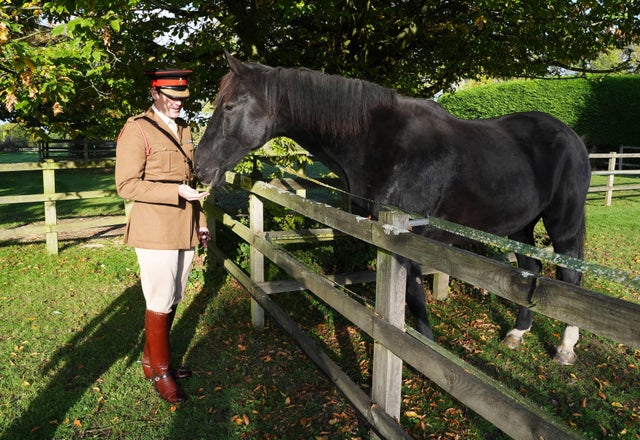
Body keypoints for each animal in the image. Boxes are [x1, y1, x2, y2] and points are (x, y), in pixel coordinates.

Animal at [195, 52, 591, 365]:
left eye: (229, 106)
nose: (200, 165)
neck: (380, 142)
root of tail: (573, 137)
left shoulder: (406, 238)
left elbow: (413, 300)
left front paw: (425, 358)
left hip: (564, 224)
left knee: (571, 279)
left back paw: (565, 349)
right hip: (519, 226)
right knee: (530, 270)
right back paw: (517, 333)